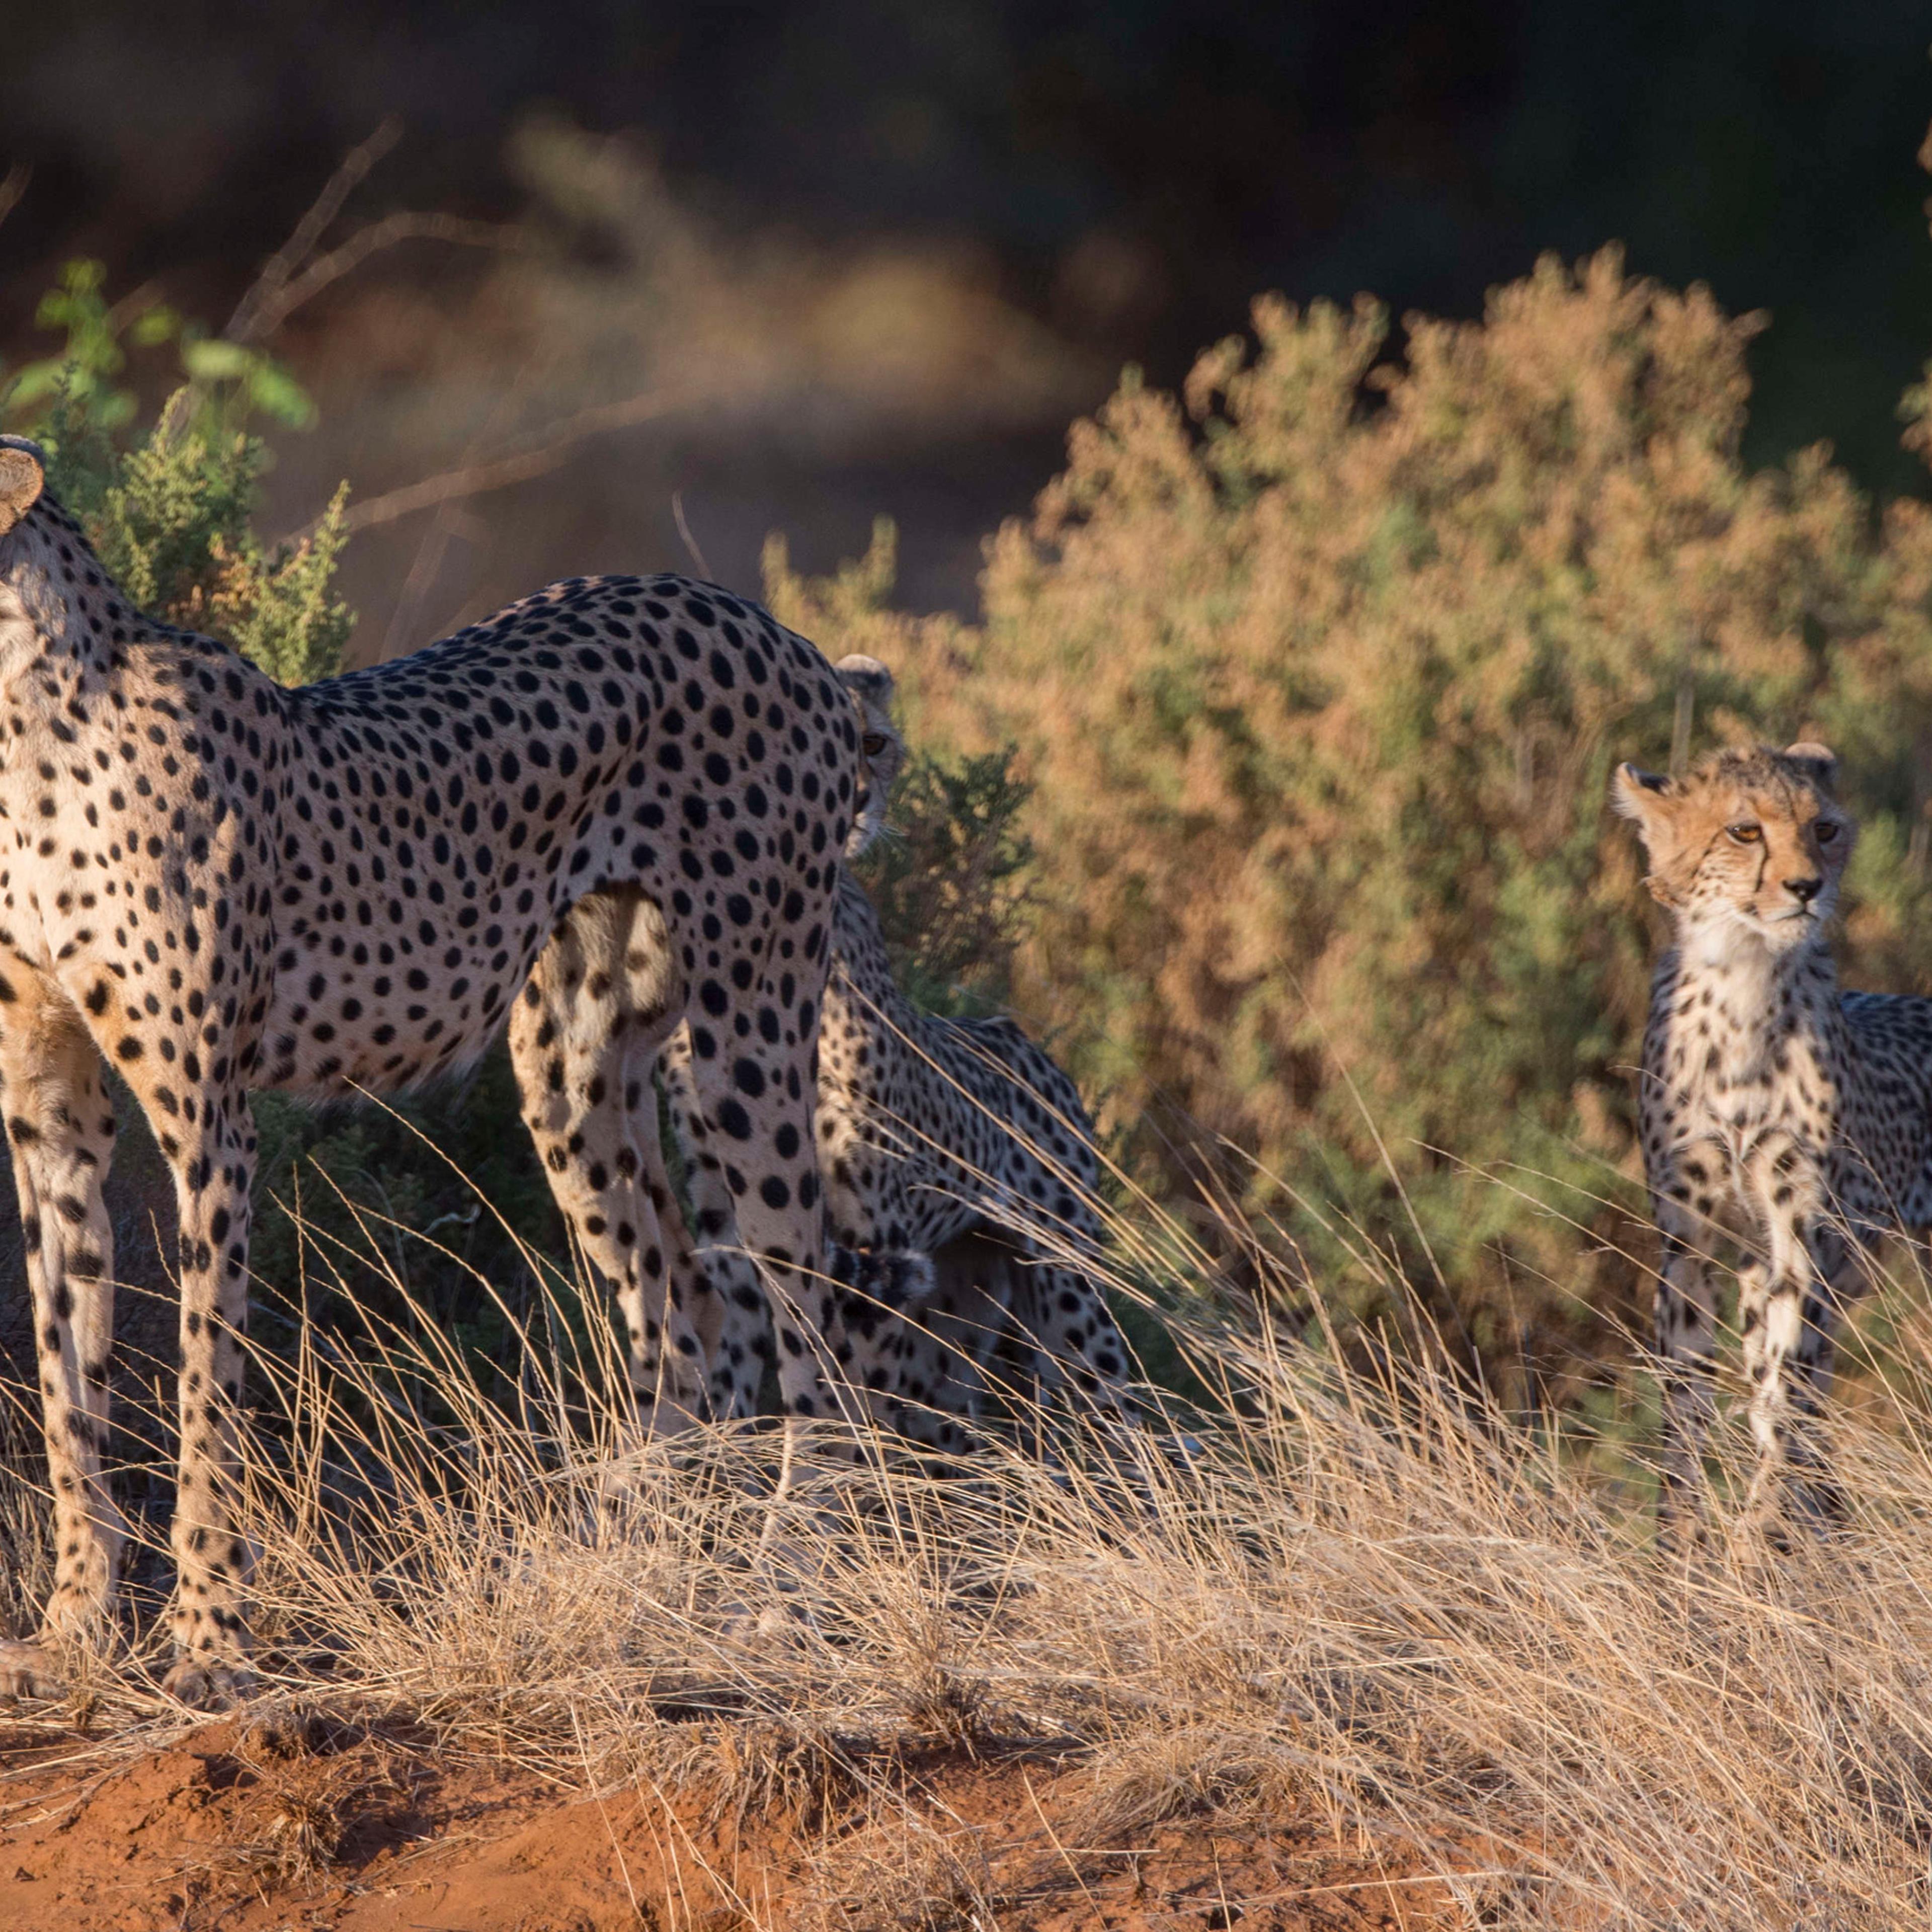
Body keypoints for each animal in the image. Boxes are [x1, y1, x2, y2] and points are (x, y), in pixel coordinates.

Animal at [0, 434, 872, 1704]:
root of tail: (762, 619)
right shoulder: (48, 1105)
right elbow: (67, 1366)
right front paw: (73, 1625)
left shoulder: (210, 1118)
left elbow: (206, 1379)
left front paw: (208, 1639)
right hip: (567, 1068)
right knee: (682, 1305)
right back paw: (644, 1564)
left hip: (746, 1031)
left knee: (808, 1304)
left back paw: (790, 1581)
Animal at [668, 657, 1136, 1453]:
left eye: (873, 742)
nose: (852, 801)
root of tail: (1024, 1038)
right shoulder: (728, 1220)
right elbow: (737, 1380)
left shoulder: (870, 1237)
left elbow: (851, 1402)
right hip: (961, 1310)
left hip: (1066, 1285)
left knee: (1118, 1417)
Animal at [1614, 740, 1932, 1535]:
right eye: (1744, 831)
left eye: (1824, 829)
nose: (1805, 887)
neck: (1746, 981)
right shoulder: (1690, 1234)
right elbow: (1689, 1396)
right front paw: (1683, 1540)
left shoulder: (1800, 1227)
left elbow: (1782, 1394)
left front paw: (1758, 1535)